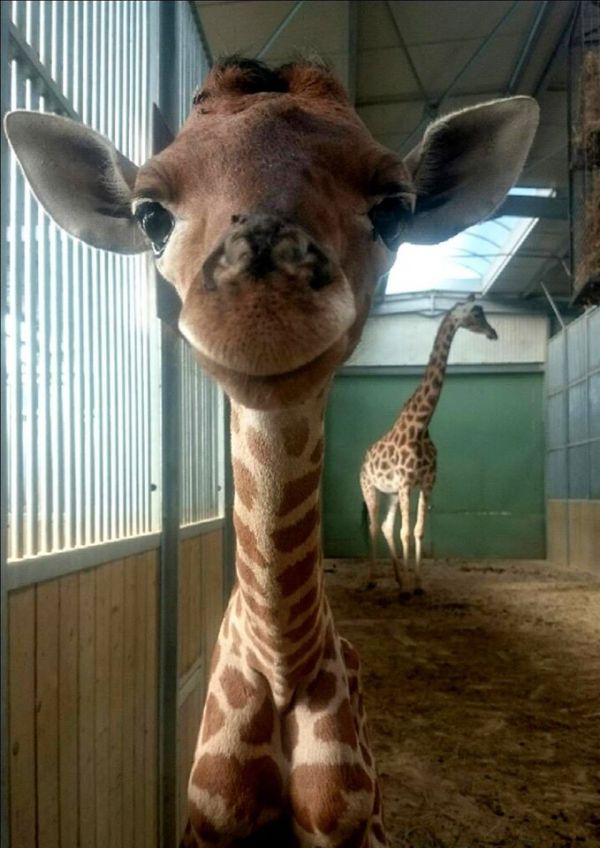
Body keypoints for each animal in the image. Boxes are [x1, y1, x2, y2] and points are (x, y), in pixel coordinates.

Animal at [360, 297, 498, 597]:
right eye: (476, 314)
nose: (493, 332)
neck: (420, 426)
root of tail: (363, 459)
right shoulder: (405, 482)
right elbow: (406, 531)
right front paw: (408, 588)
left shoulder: (427, 482)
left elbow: (417, 530)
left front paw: (417, 584)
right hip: (370, 487)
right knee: (374, 526)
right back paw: (372, 579)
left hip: (390, 493)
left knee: (386, 526)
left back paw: (398, 578)